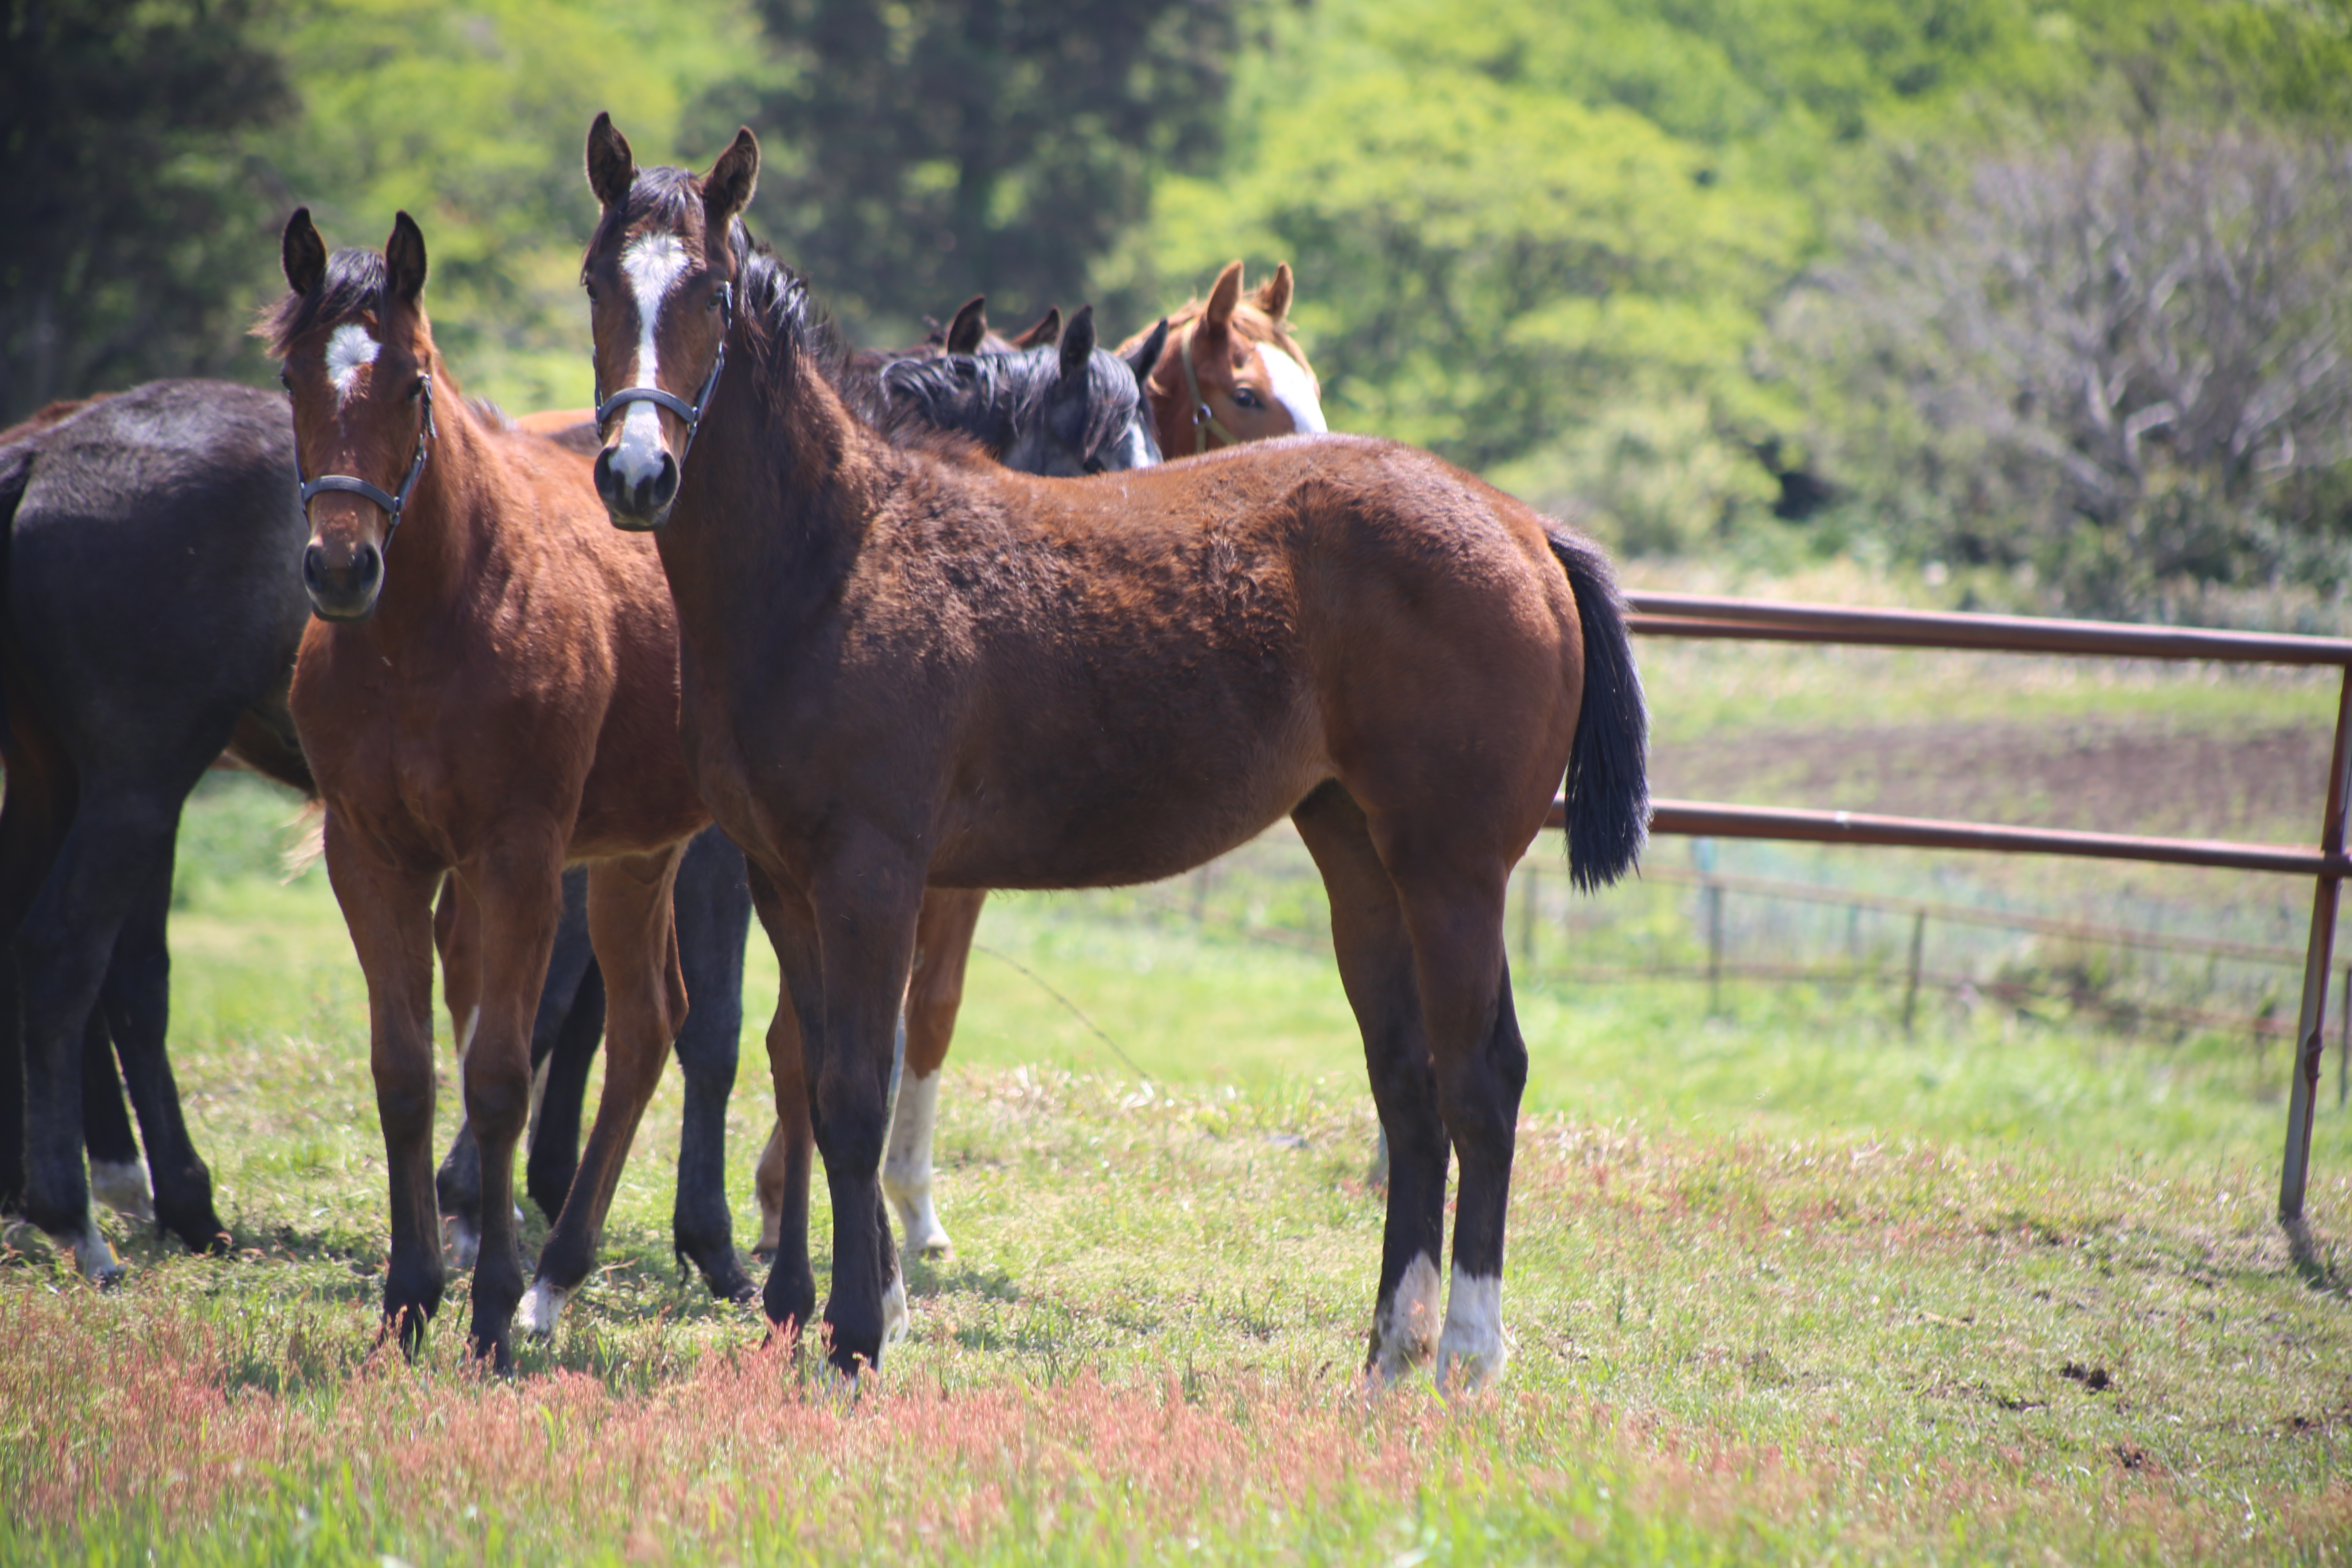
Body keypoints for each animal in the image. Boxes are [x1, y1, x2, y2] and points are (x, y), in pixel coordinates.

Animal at [273, 212, 715, 1373]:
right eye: (290, 377)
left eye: (414, 384)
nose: (342, 567)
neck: (427, 630)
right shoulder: (373, 857)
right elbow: (406, 1071)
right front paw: (412, 1294)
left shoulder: (518, 857)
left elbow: (503, 1075)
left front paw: (487, 1309)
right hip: (637, 852)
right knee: (648, 1025)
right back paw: (558, 1275)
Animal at [578, 126, 1646, 1401]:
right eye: (598, 283)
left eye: (712, 291)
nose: (636, 472)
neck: (837, 552)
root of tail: (1526, 529)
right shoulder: (783, 878)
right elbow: (810, 1075)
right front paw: (818, 1312)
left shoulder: (873, 873)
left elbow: (852, 1091)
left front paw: (857, 1336)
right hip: (1359, 855)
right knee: (1410, 1086)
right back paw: (1390, 1354)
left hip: (1455, 868)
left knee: (1482, 1078)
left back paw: (1468, 1361)